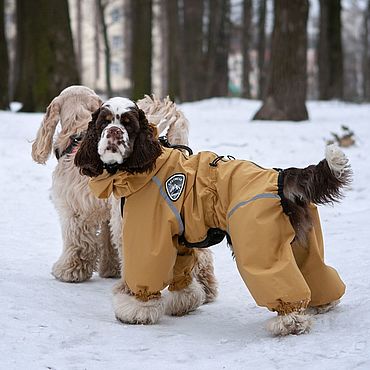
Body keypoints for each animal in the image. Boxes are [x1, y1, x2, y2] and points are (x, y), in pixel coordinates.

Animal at [73, 97, 352, 336]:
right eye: (104, 122)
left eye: (128, 124)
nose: (114, 132)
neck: (145, 166)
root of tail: (282, 177)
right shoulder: (179, 239)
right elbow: (182, 275)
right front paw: (184, 303)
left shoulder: (149, 238)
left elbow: (146, 276)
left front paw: (135, 311)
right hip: (301, 244)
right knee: (315, 271)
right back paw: (322, 304)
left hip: (259, 246)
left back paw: (290, 322)